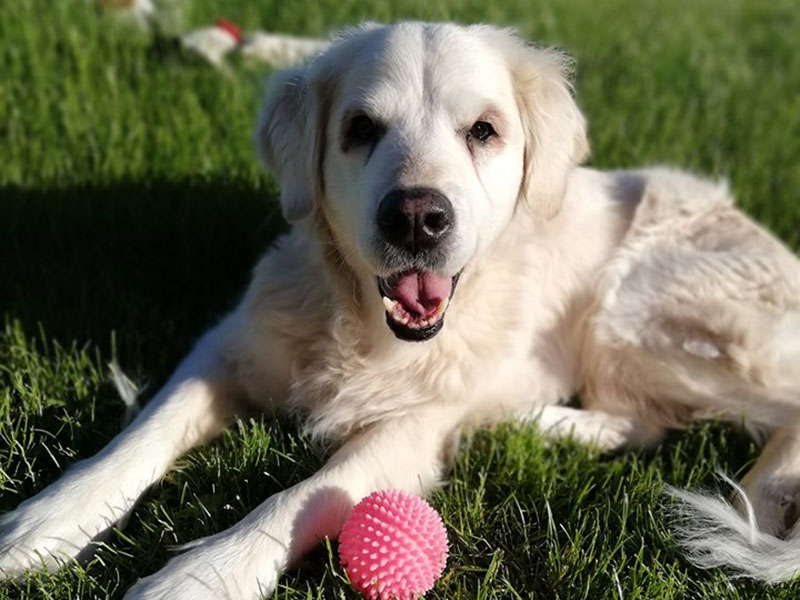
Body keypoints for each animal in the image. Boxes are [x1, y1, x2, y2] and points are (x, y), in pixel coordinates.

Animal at [1, 21, 800, 596]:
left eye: (483, 131)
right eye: (360, 129)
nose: (416, 218)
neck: (364, 329)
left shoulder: (412, 430)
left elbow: (302, 497)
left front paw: (200, 577)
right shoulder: (227, 345)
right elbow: (141, 434)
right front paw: (42, 523)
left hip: (635, 305)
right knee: (642, 420)